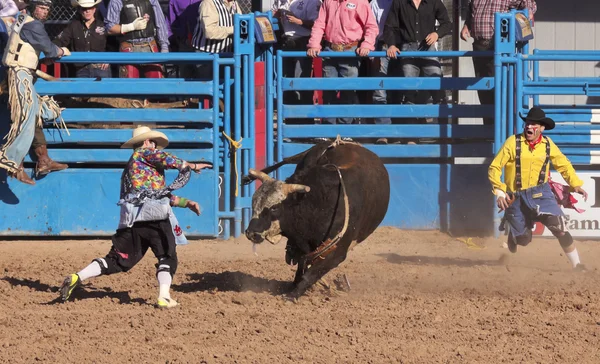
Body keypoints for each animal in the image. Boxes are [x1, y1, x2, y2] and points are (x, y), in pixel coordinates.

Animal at [241, 140, 392, 298]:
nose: (251, 233)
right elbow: (302, 266)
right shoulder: (301, 244)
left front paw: (292, 295)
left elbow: (310, 274)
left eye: (274, 208)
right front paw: (293, 287)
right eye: (254, 202)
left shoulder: (337, 252)